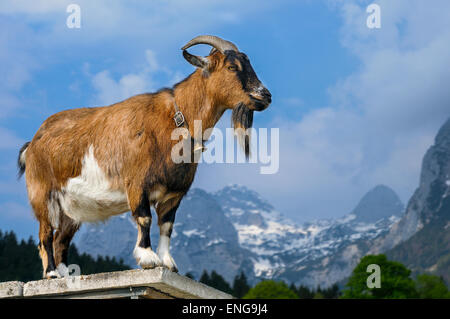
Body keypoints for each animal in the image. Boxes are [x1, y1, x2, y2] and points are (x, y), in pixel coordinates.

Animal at [16, 35, 270, 280]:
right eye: (231, 67)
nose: (265, 95)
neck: (176, 120)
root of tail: (33, 143)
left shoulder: (174, 194)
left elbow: (167, 226)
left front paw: (168, 262)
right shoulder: (137, 184)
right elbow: (144, 218)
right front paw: (148, 258)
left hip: (72, 208)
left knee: (61, 240)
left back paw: (63, 275)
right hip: (42, 193)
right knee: (45, 234)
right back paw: (50, 273)